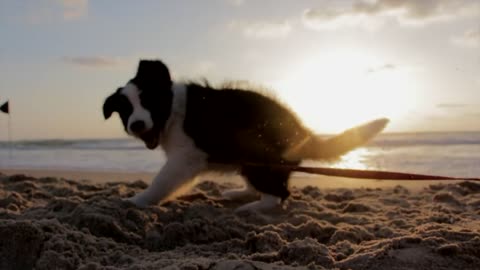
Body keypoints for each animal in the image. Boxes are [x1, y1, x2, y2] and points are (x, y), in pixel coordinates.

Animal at [103, 60, 388, 212]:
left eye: (148, 101)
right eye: (125, 110)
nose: (137, 125)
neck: (172, 111)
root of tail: (302, 132)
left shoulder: (185, 158)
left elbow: (160, 182)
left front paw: (136, 201)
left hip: (258, 158)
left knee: (278, 195)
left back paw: (251, 208)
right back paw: (239, 194)